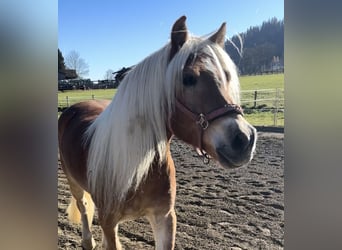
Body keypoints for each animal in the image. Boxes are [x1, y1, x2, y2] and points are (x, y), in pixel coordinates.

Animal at [58, 16, 256, 250]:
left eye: (226, 76)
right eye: (188, 78)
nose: (244, 139)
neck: (138, 166)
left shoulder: (165, 218)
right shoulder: (108, 220)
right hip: (74, 184)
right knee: (83, 208)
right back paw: (88, 241)